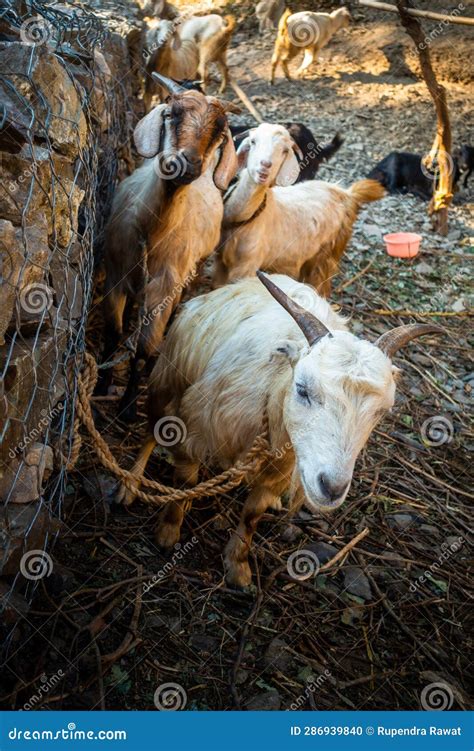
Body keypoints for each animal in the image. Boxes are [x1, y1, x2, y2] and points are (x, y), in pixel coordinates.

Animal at [100, 75, 241, 424]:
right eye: (172, 115)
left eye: (220, 133)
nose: (186, 164)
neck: (153, 233)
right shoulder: (115, 273)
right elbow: (113, 332)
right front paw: (102, 386)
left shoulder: (164, 286)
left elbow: (143, 350)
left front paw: (127, 407)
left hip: (190, 270)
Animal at [117, 274, 440, 592]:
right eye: (303, 389)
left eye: (382, 411)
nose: (332, 487)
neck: (274, 389)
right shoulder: (194, 429)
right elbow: (185, 482)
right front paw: (168, 532)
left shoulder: (283, 463)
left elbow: (252, 514)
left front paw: (238, 567)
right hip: (167, 379)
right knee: (151, 431)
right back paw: (129, 485)